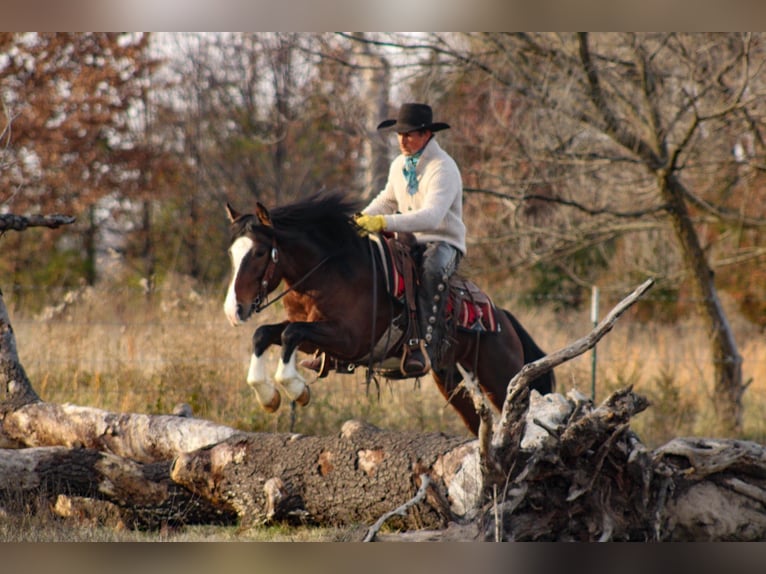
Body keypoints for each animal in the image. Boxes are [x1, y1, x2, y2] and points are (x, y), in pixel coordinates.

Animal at [223, 191, 554, 435]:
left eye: (259, 252)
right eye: (232, 252)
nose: (233, 310)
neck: (331, 271)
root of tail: (501, 318)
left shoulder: (350, 340)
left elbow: (289, 334)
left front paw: (295, 387)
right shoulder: (314, 337)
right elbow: (266, 334)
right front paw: (269, 396)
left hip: (502, 378)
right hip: (451, 380)